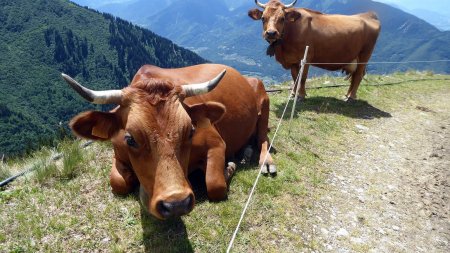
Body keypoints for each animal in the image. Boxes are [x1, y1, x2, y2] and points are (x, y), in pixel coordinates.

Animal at [248, 0, 382, 101]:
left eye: (282, 18)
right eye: (263, 18)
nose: (271, 33)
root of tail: (368, 15)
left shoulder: (306, 57)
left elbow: (302, 78)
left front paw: (301, 96)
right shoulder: (293, 60)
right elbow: (294, 77)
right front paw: (293, 94)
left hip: (365, 54)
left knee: (358, 75)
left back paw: (351, 97)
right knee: (355, 76)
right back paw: (347, 94)